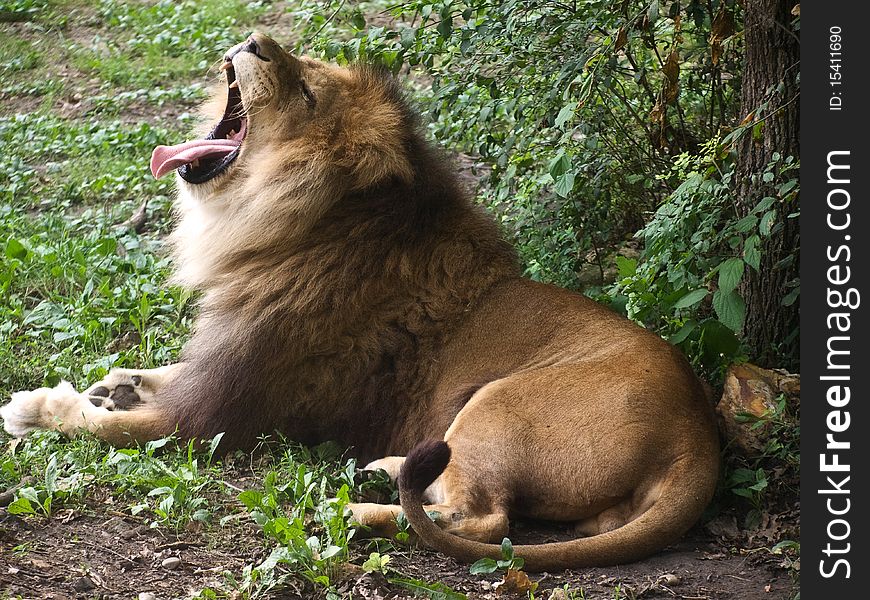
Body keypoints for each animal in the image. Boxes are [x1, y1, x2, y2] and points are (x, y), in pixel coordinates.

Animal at [0, 34, 720, 572]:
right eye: (296, 61)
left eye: (306, 89)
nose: (254, 40)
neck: (284, 226)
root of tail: (698, 432)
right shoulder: (223, 362)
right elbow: (162, 374)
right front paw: (117, 383)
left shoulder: (216, 418)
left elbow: (107, 429)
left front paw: (38, 408)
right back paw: (383, 468)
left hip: (497, 403)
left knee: (486, 522)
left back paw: (343, 508)